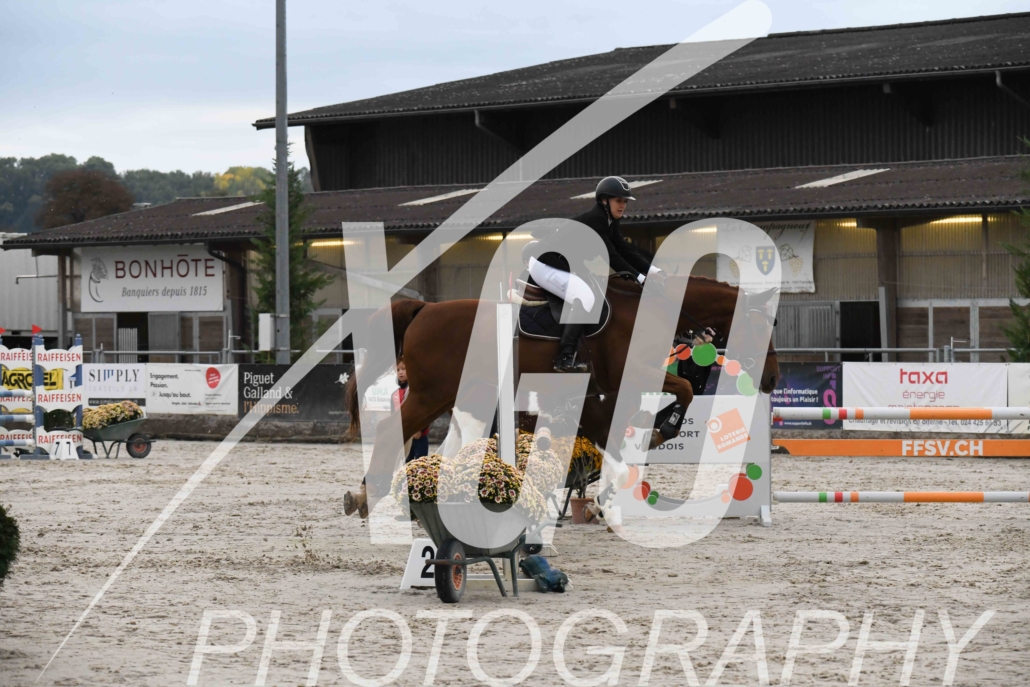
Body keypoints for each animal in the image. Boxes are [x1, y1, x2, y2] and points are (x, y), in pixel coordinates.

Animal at [342, 275, 779, 517]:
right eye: (762, 326)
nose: (772, 379)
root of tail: (425, 309)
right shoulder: (630, 375)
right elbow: (685, 391)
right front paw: (662, 430)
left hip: (453, 396)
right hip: (432, 393)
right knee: (391, 430)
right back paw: (367, 494)